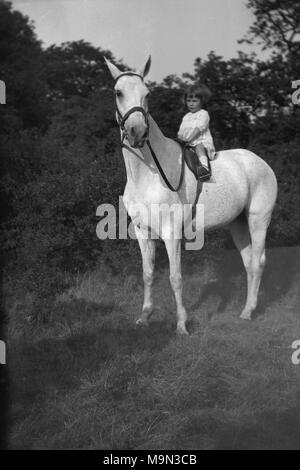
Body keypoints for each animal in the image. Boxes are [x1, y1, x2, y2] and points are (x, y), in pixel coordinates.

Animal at [105, 57, 276, 334]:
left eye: (147, 94)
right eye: (118, 92)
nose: (137, 132)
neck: (148, 173)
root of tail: (261, 162)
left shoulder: (171, 233)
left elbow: (175, 278)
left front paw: (181, 325)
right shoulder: (143, 232)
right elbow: (148, 273)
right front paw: (144, 317)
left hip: (258, 219)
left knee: (259, 261)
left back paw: (250, 312)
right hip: (237, 224)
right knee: (249, 262)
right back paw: (245, 310)